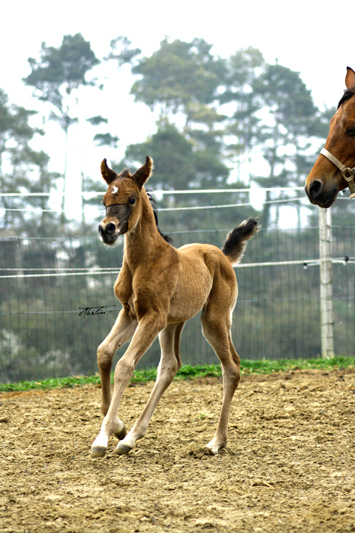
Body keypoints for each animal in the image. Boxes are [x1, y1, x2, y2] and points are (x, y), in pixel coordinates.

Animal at [90, 155, 260, 458]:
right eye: (104, 199)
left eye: (132, 199)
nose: (107, 229)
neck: (143, 261)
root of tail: (222, 256)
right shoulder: (130, 313)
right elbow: (104, 352)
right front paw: (118, 428)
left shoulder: (152, 317)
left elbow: (124, 365)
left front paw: (102, 438)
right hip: (173, 323)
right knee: (170, 365)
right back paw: (131, 437)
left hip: (214, 319)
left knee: (231, 368)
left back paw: (216, 442)